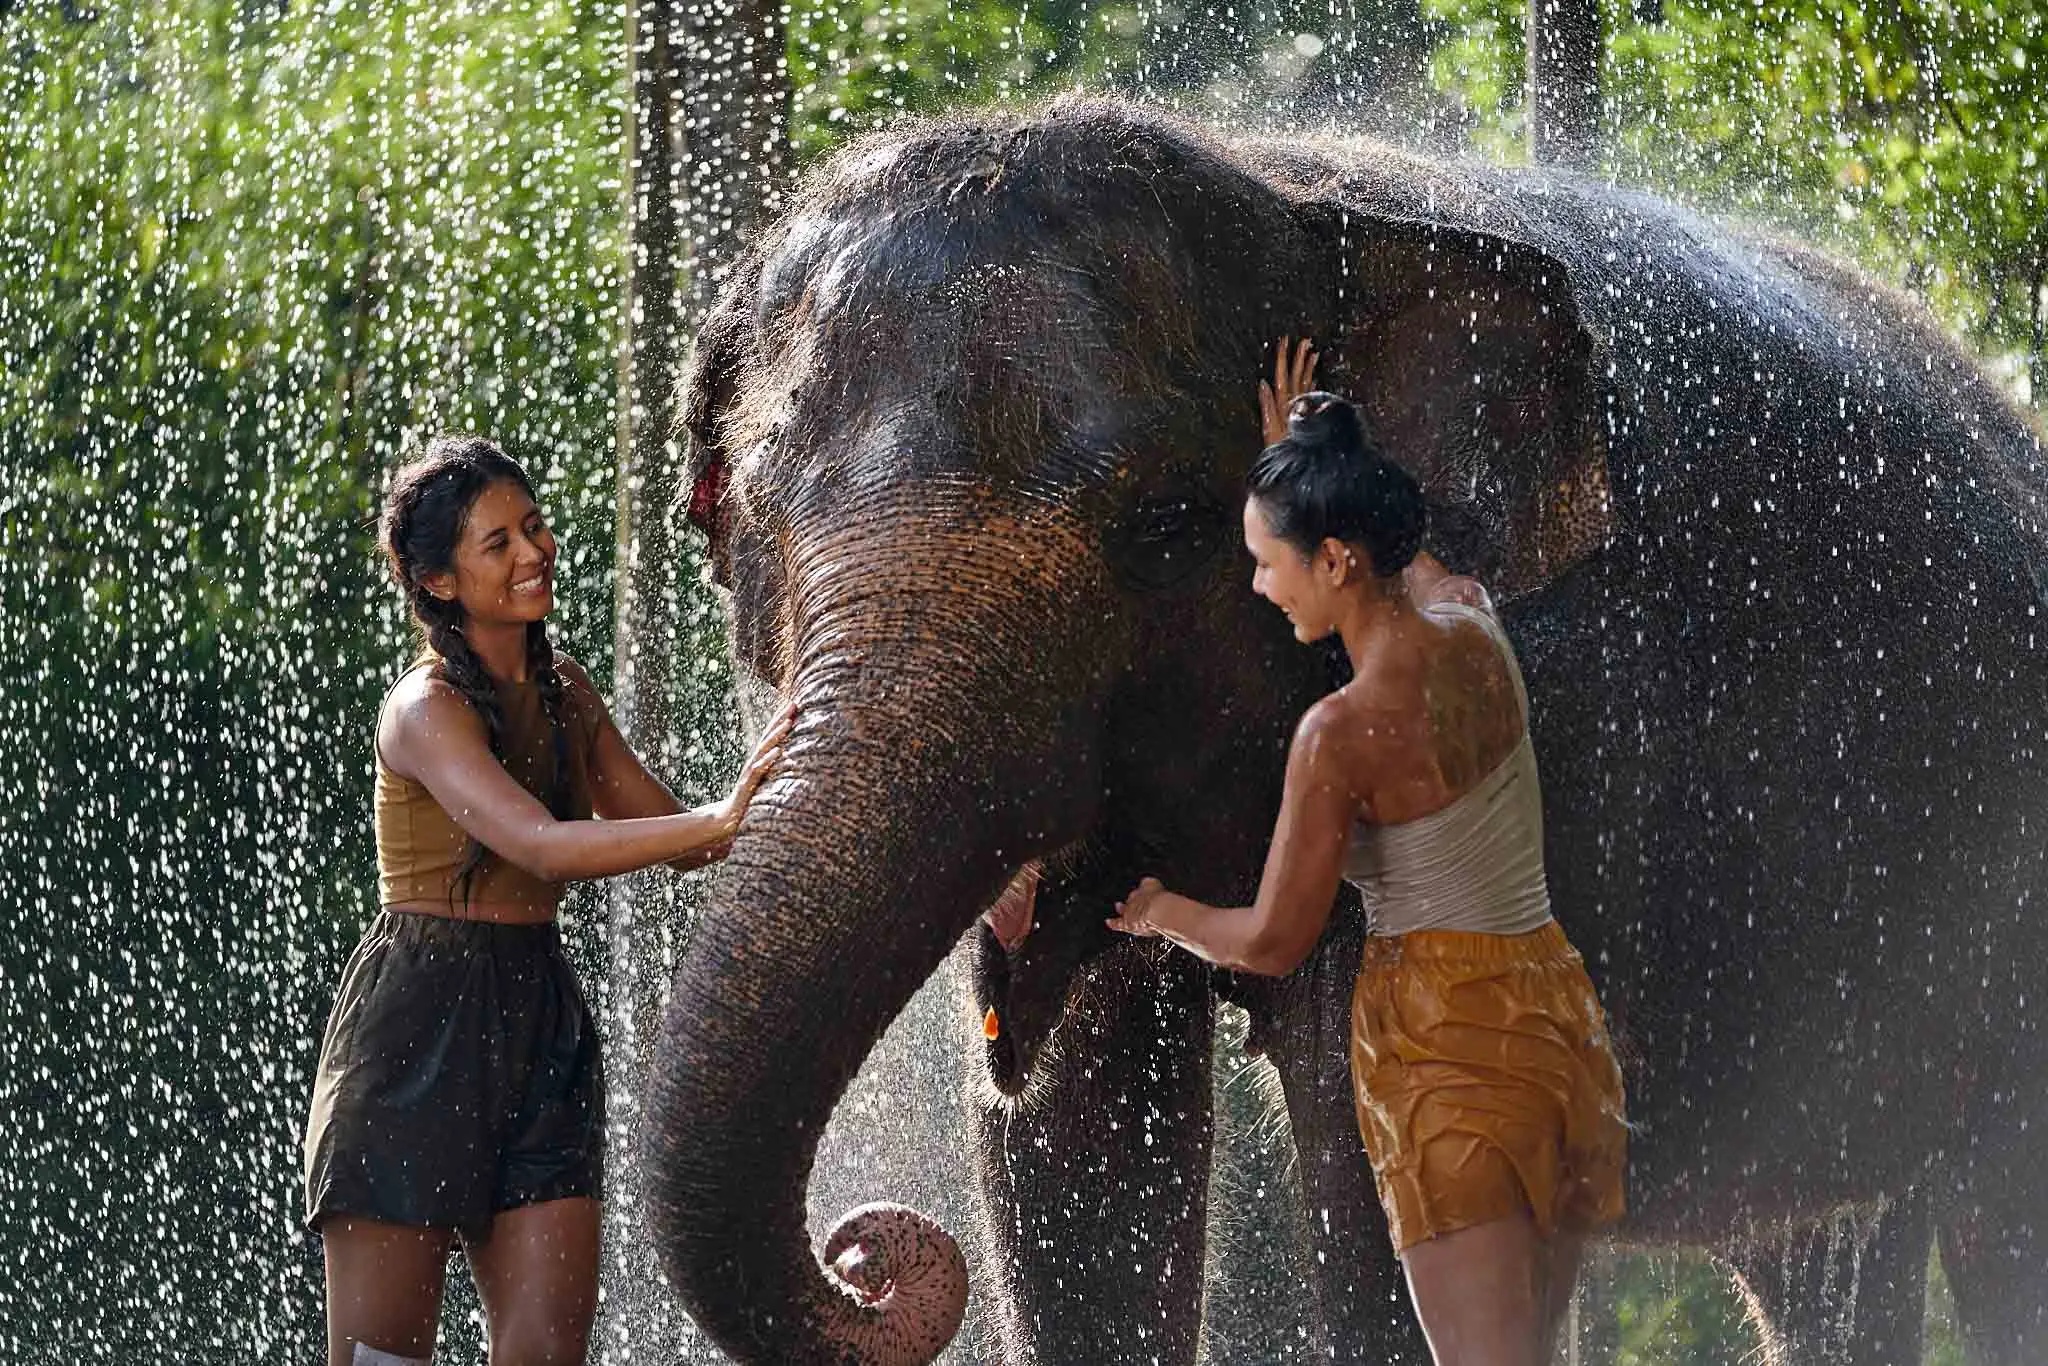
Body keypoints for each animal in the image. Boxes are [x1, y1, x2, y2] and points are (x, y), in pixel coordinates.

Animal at [643, 95, 2048, 1365]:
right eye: (734, 515)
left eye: (1164, 526)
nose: (866, 1252)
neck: (1277, 188)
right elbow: (1073, 1151)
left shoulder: (1547, 719)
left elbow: (1366, 1126)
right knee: (1827, 1259)